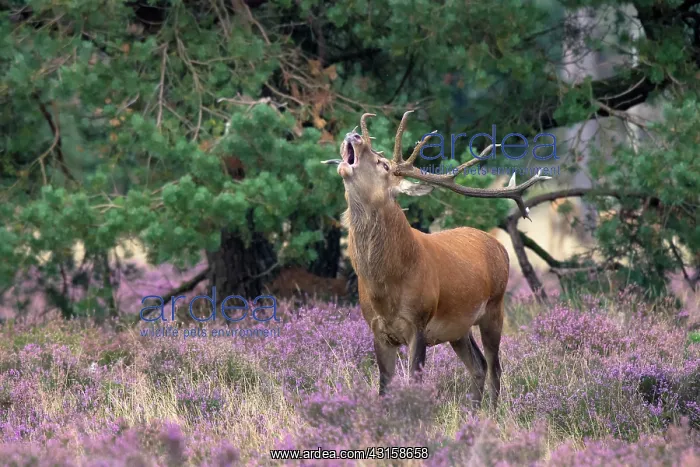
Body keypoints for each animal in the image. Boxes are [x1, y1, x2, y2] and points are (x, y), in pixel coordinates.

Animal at [321, 111, 551, 410]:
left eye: (384, 164)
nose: (354, 135)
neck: (387, 287)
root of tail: (499, 245)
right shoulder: (377, 329)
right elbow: (384, 388)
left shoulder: (418, 322)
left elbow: (413, 383)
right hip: (458, 328)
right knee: (478, 365)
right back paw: (473, 411)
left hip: (495, 307)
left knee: (495, 366)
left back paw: (492, 411)